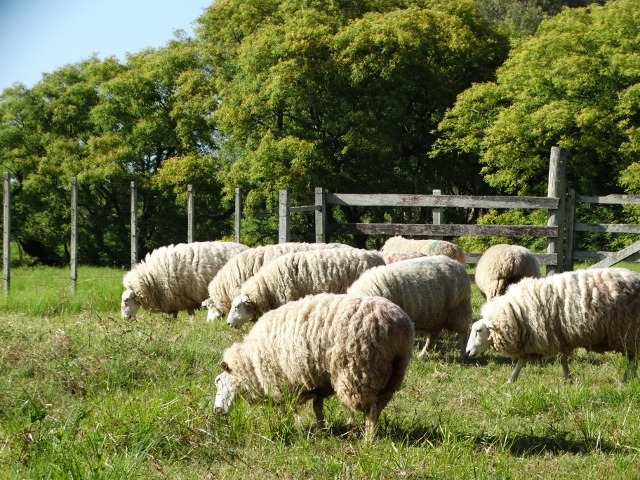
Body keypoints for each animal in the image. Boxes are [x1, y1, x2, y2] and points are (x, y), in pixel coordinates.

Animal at [214, 290, 416, 440]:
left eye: (218, 381)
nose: (217, 411)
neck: (251, 364)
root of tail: (400, 327)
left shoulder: (281, 380)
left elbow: (285, 407)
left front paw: (285, 425)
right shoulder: (317, 381)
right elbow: (317, 408)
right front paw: (321, 430)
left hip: (361, 369)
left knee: (371, 410)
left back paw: (368, 439)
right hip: (392, 372)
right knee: (379, 406)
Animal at [464, 266, 640, 382]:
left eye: (478, 331)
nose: (467, 352)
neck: (517, 311)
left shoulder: (550, 335)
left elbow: (560, 359)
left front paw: (567, 379)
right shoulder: (551, 337)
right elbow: (524, 361)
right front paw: (511, 380)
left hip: (630, 331)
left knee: (633, 360)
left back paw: (625, 380)